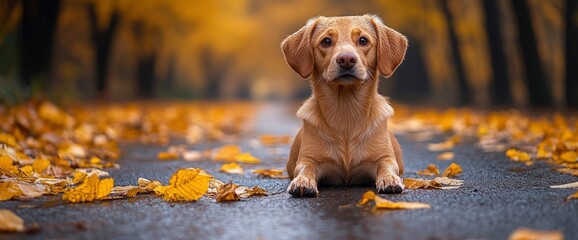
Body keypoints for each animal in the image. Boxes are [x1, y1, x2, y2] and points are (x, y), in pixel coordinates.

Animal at [280, 15, 404, 197]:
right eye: (326, 41)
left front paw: (390, 179)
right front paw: (303, 181)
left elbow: (386, 167)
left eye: (363, 40)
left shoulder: (385, 157)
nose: (346, 59)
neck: (346, 110)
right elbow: (305, 168)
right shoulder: (308, 159)